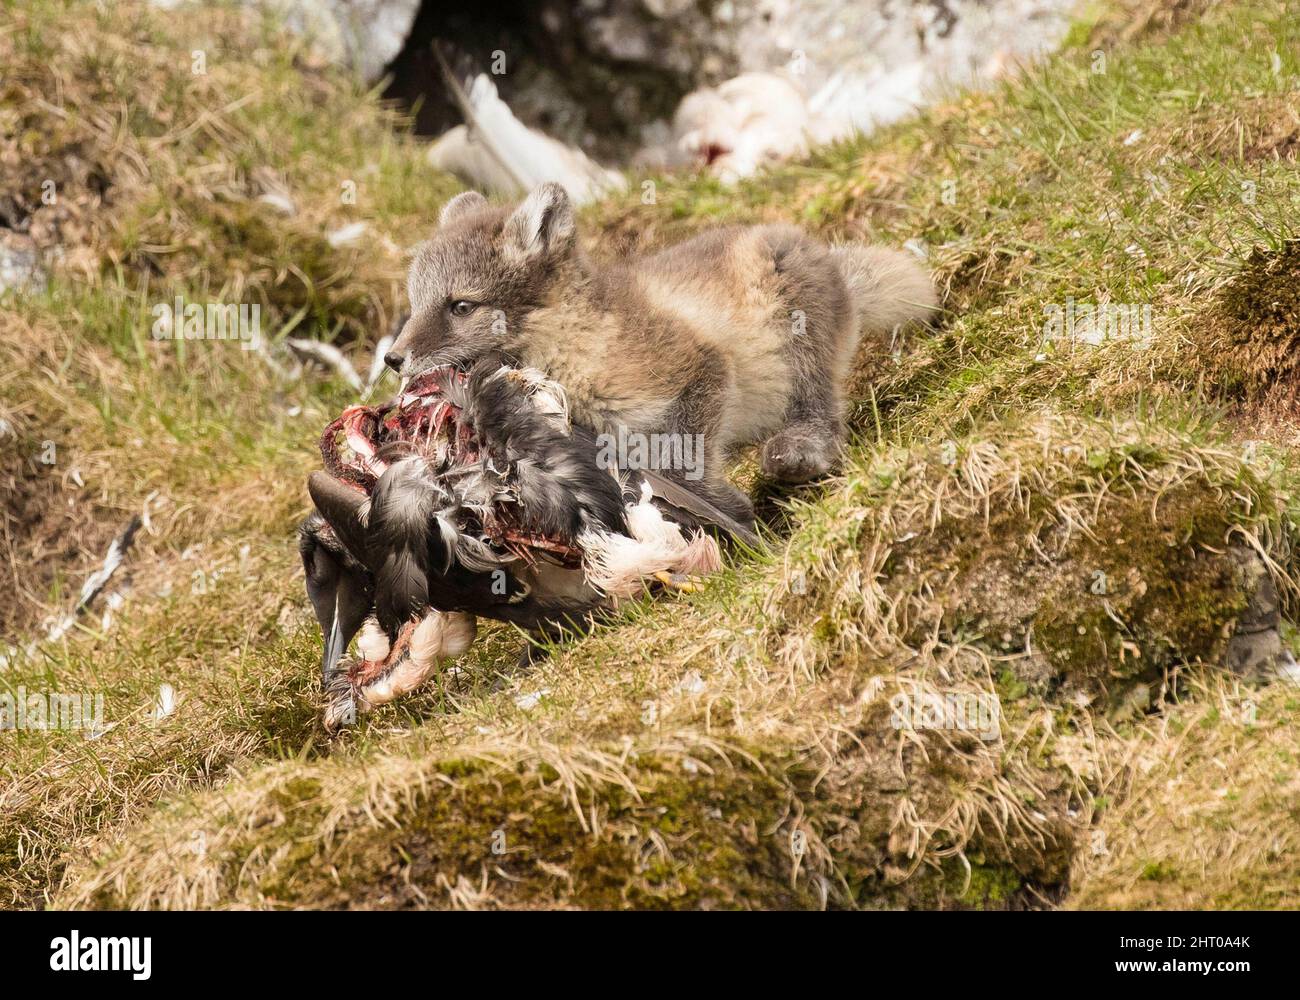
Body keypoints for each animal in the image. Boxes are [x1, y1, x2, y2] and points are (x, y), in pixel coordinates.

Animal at [384, 182, 935, 520]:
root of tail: (835, 268)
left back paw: (801, 448)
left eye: (461, 306)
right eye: (413, 304)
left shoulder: (700, 367)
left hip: (791, 314)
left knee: (819, 405)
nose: (392, 359)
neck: (576, 341)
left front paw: (730, 511)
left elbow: (679, 464)